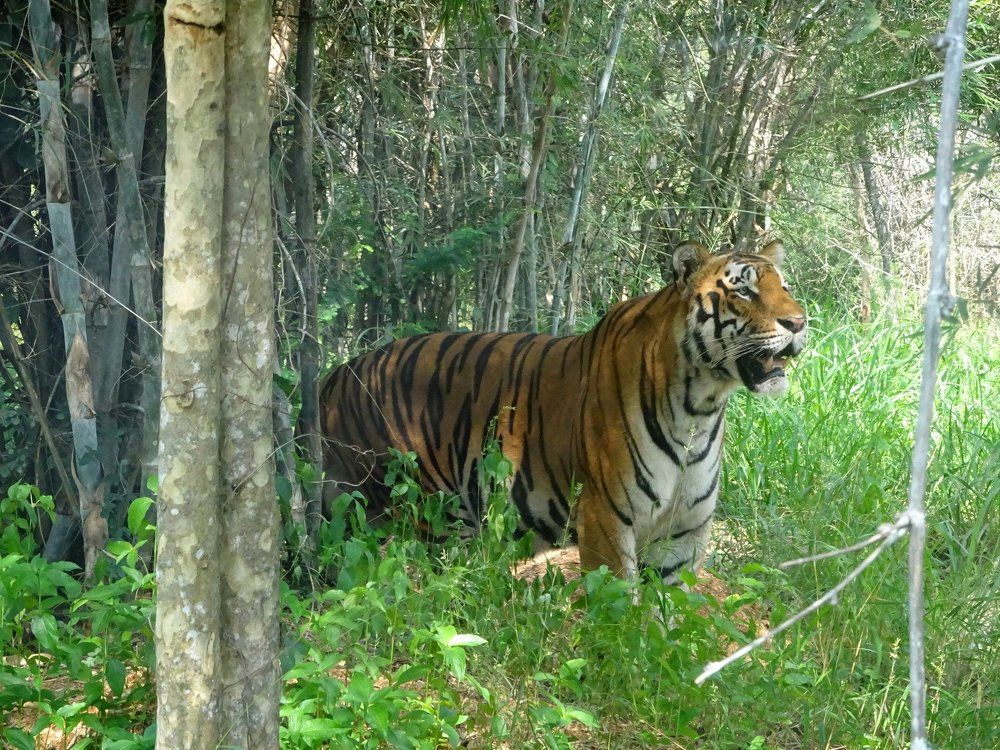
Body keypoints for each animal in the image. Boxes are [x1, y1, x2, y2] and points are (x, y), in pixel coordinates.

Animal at [318, 240, 807, 583]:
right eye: (743, 289)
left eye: (784, 286)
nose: (800, 323)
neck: (700, 407)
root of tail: (334, 376)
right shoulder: (607, 519)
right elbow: (620, 618)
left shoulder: (683, 534)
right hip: (417, 512)